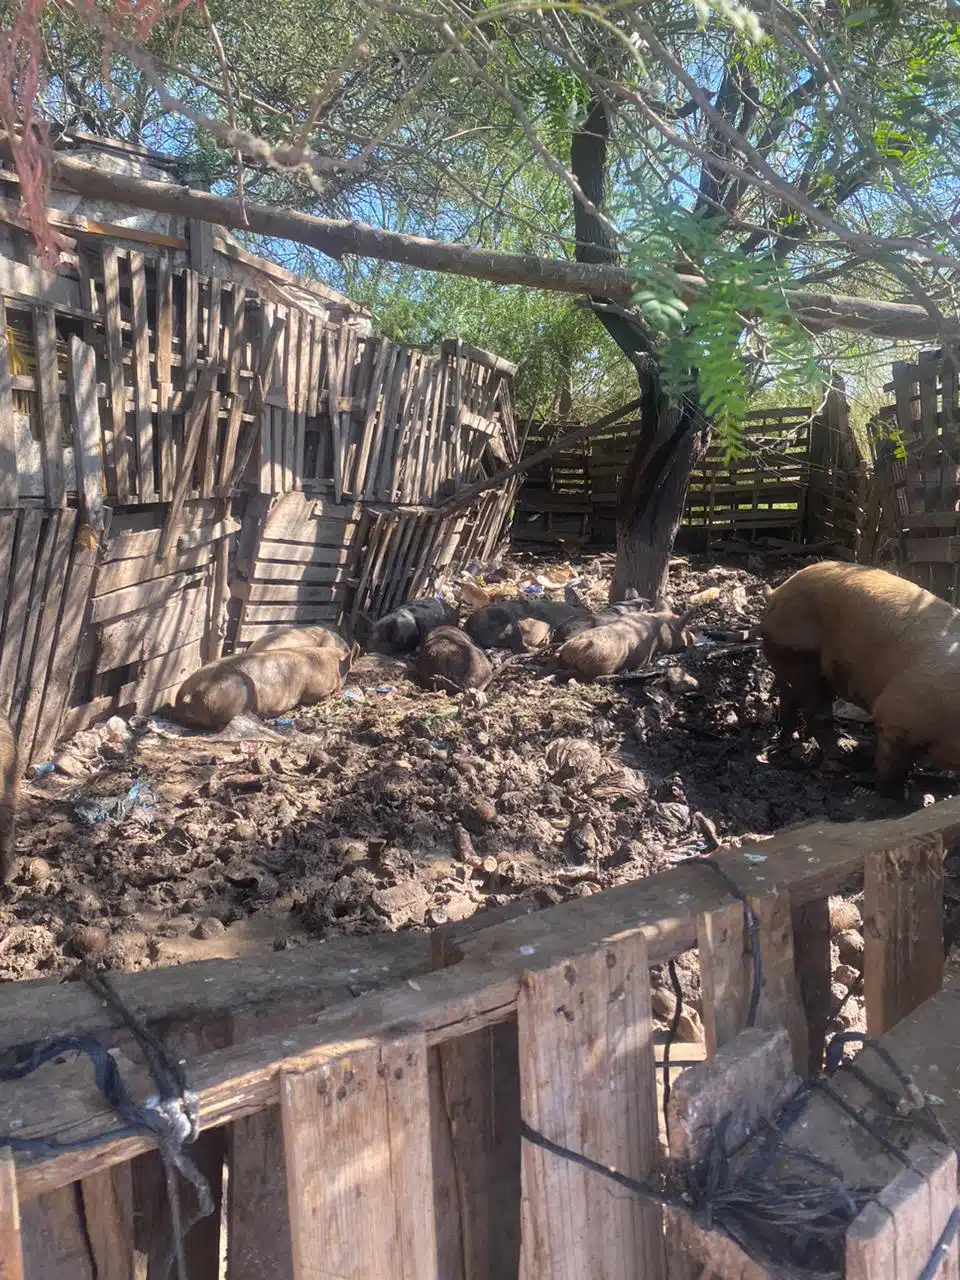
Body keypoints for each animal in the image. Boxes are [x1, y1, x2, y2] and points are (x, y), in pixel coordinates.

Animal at [762, 563, 960, 798]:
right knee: (816, 711)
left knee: (788, 697)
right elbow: (890, 764)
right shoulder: (897, 714)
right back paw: (837, 763)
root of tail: (777, 591)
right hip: (802, 655)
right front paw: (894, 796)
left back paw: (787, 742)